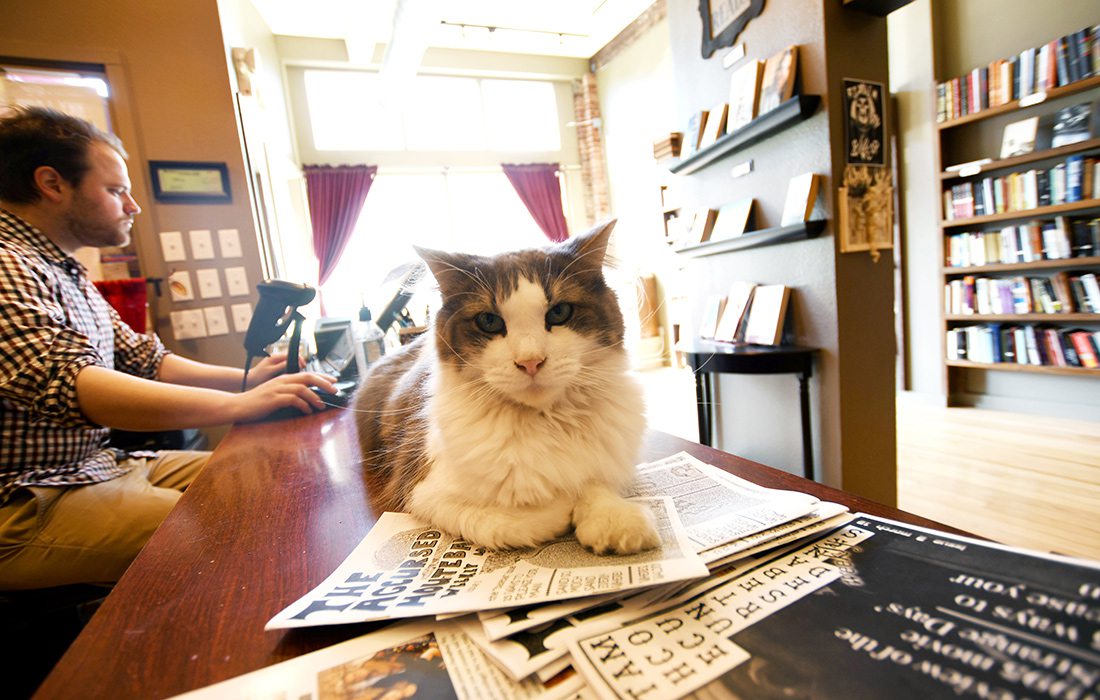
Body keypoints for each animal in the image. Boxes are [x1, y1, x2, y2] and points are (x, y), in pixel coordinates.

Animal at [354, 221, 660, 554]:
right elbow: (516, 521)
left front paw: (613, 520)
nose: (530, 362)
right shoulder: (421, 489)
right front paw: (563, 506)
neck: (544, 421)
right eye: (489, 321)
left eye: (559, 313)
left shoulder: (604, 460)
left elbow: (593, 482)